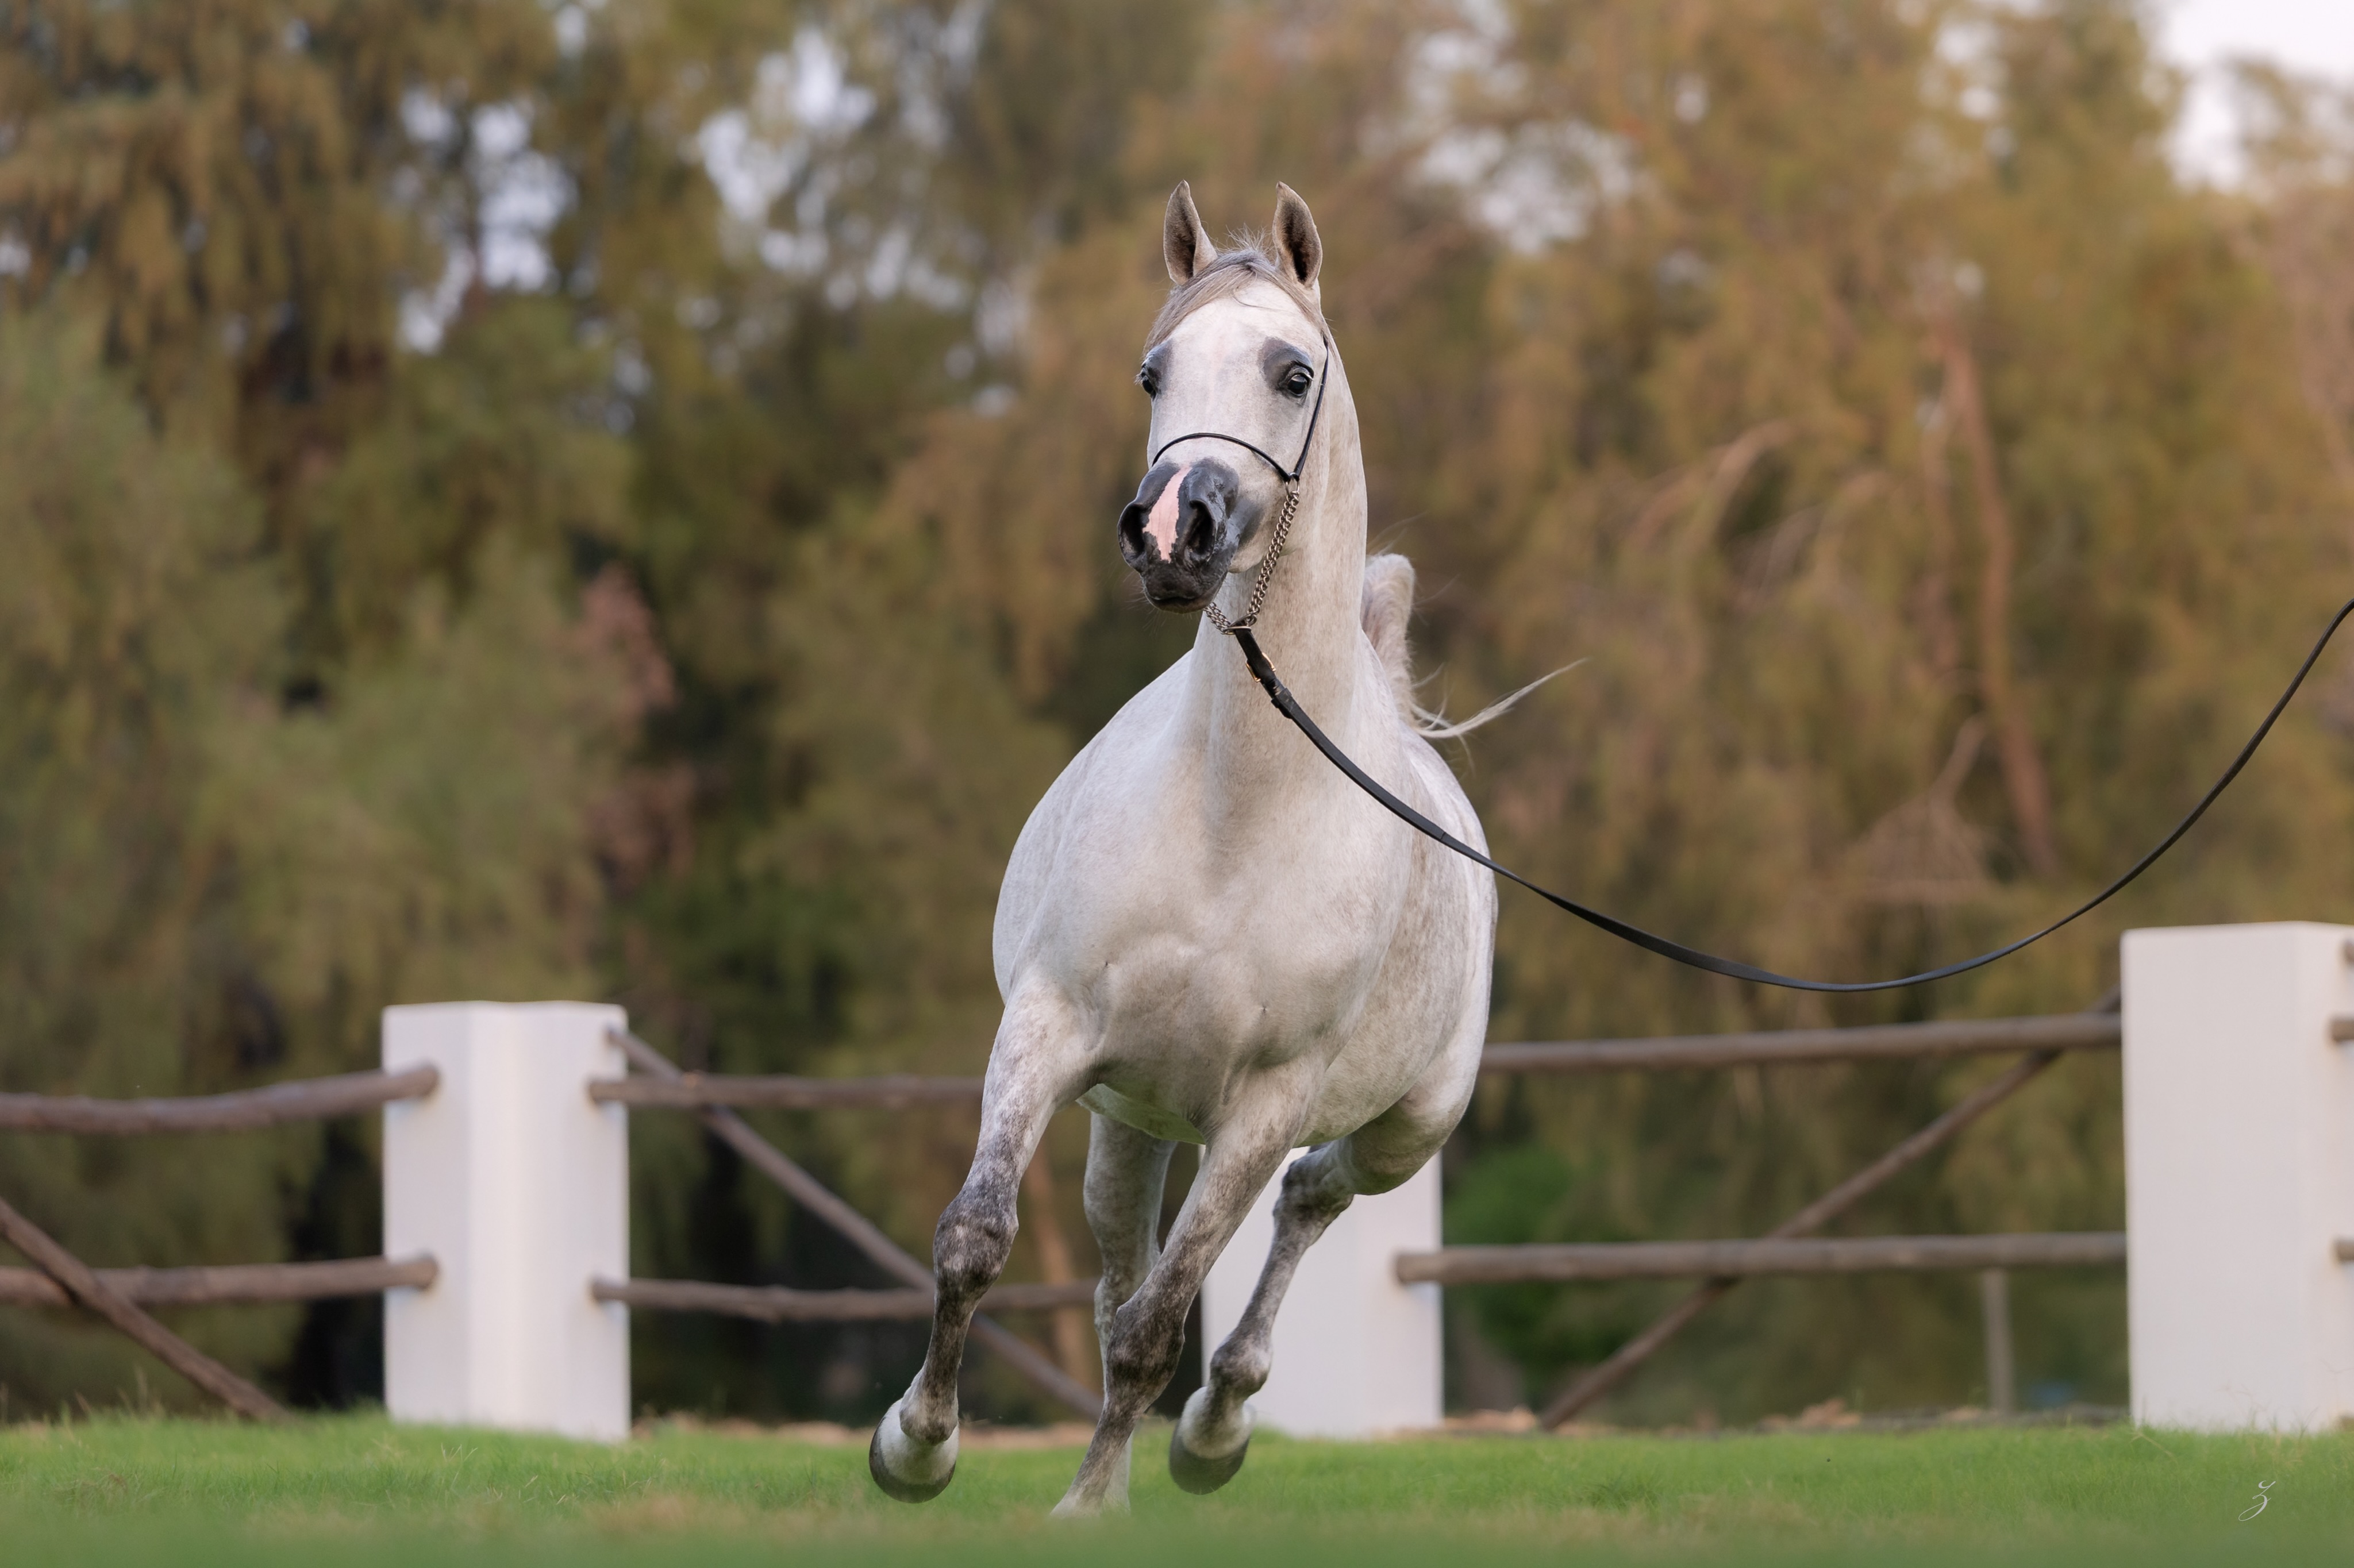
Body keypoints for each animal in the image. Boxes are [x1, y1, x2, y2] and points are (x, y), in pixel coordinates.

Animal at [868, 181, 1497, 1517]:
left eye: (1291, 370)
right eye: (1153, 372)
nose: (1169, 529)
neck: (1233, 816)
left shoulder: (1263, 1107)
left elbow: (1158, 1326)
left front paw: (1085, 1503)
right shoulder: (1050, 1028)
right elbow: (977, 1241)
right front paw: (916, 1443)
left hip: (1401, 1126)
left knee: (1306, 1201)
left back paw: (1216, 1426)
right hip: (1131, 1113)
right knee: (1121, 1260)